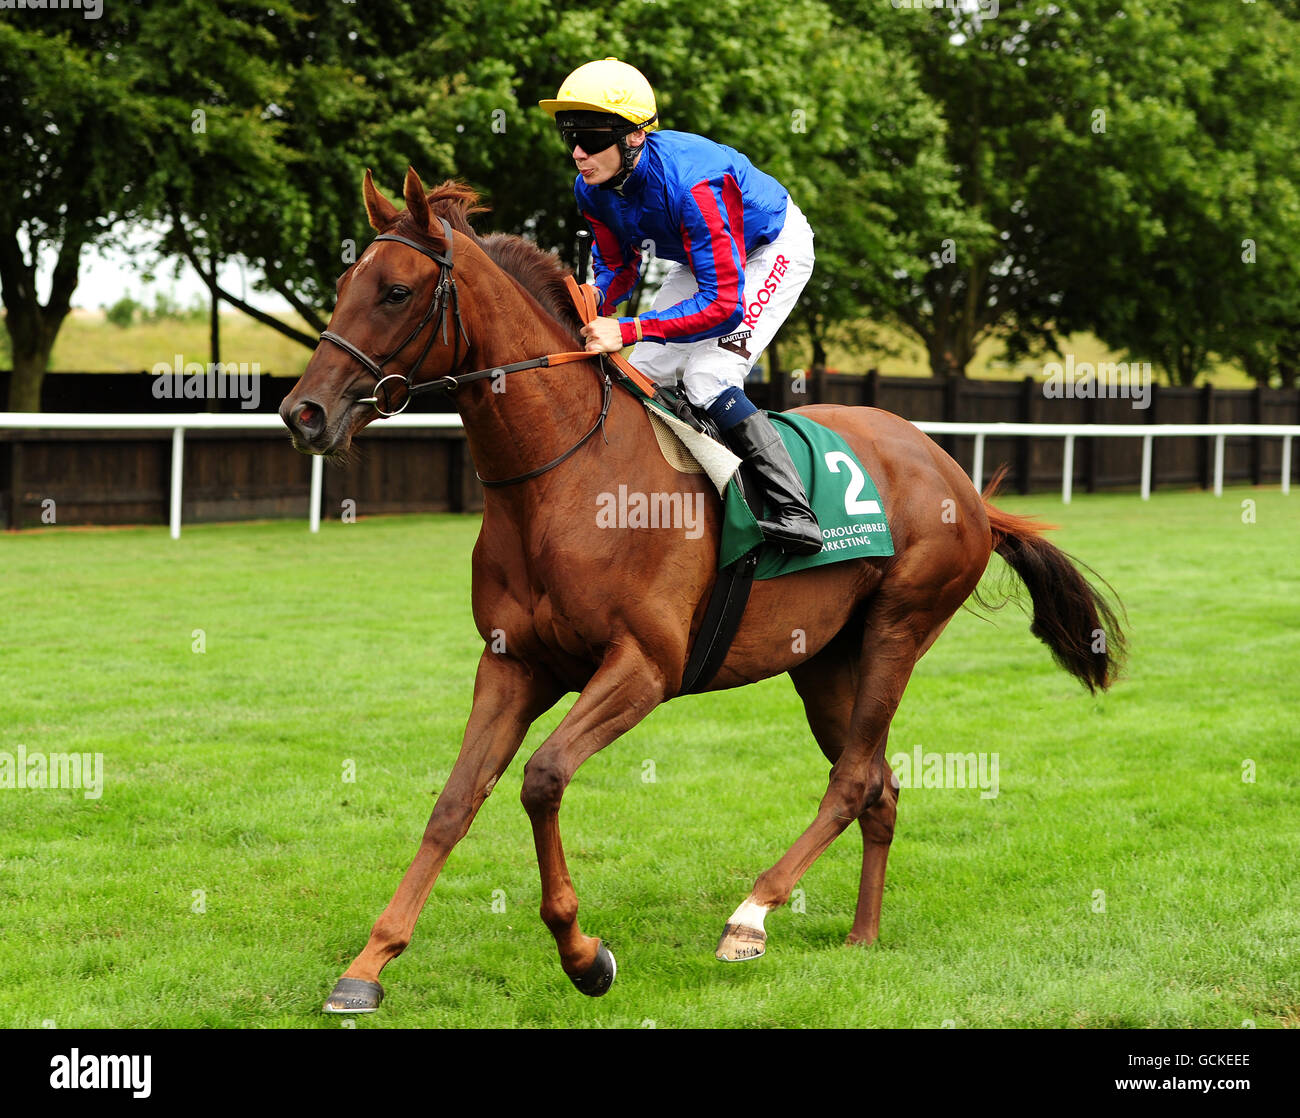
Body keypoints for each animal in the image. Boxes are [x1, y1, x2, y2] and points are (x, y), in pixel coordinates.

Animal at [279, 167, 1123, 1013]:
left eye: (395, 291)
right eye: (343, 284)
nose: (303, 413)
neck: (565, 477)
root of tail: (961, 484)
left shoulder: (645, 667)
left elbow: (543, 779)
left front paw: (583, 956)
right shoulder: (512, 662)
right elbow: (454, 802)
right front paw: (368, 965)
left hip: (899, 629)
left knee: (852, 779)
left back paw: (750, 916)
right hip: (824, 660)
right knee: (877, 783)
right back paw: (862, 934)